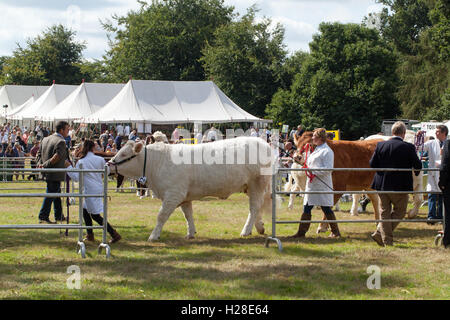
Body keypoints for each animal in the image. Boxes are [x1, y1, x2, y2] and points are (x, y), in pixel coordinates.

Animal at [109, 137, 272, 240]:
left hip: (257, 183)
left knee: (254, 207)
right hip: (249, 187)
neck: (156, 163)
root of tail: (263, 143)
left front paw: (153, 235)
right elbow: (188, 215)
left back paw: (246, 231)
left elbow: (161, 215)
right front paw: (190, 233)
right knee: (257, 207)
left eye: (124, 153)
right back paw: (259, 227)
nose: (109, 164)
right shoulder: (184, 196)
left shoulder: (174, 194)